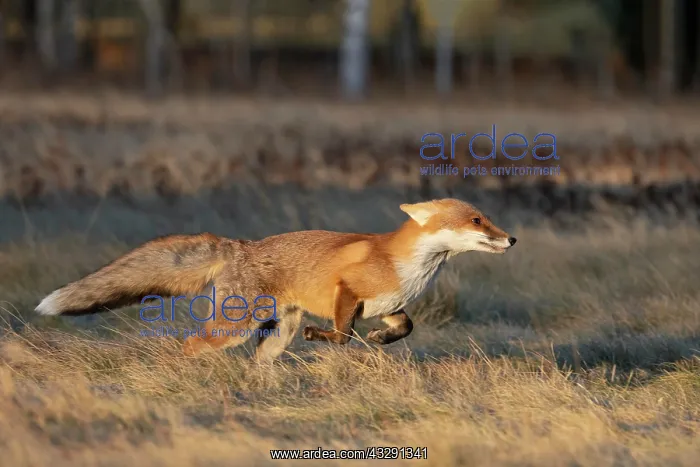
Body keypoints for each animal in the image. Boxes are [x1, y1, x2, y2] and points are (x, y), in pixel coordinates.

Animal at [34, 198, 516, 362]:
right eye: (477, 220)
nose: (512, 238)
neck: (411, 265)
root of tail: (239, 245)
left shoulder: (390, 305)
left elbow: (405, 327)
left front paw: (381, 340)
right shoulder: (345, 290)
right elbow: (342, 334)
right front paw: (325, 337)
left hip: (275, 334)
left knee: (258, 361)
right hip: (234, 328)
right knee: (191, 343)